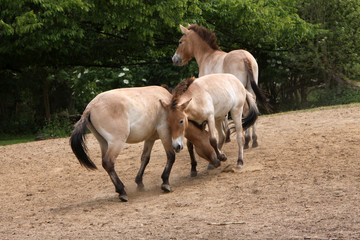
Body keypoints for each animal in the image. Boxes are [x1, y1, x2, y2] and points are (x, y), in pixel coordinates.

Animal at [69, 85, 218, 202]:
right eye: (180, 121)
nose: (217, 161)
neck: (166, 104)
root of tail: (90, 107)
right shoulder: (164, 133)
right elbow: (171, 156)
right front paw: (165, 183)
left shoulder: (150, 139)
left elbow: (145, 158)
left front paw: (139, 183)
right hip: (116, 142)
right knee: (108, 162)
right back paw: (122, 191)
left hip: (103, 143)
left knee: (106, 164)